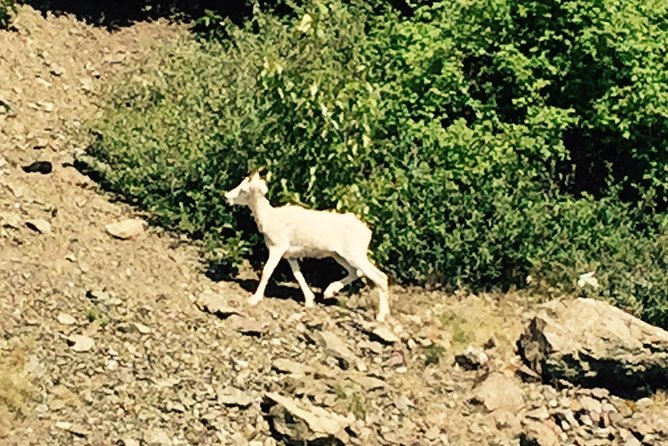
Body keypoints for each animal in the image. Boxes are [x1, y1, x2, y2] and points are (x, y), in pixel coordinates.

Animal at [226, 170, 392, 320]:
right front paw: (309, 302)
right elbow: (298, 275)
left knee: (380, 277)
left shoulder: (277, 249)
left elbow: (267, 271)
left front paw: (254, 299)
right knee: (356, 272)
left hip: (355, 256)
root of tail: (366, 231)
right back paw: (329, 292)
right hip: (341, 256)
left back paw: (381, 316)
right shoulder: (290, 256)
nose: (226, 197)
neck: (271, 217)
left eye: (244, 190)